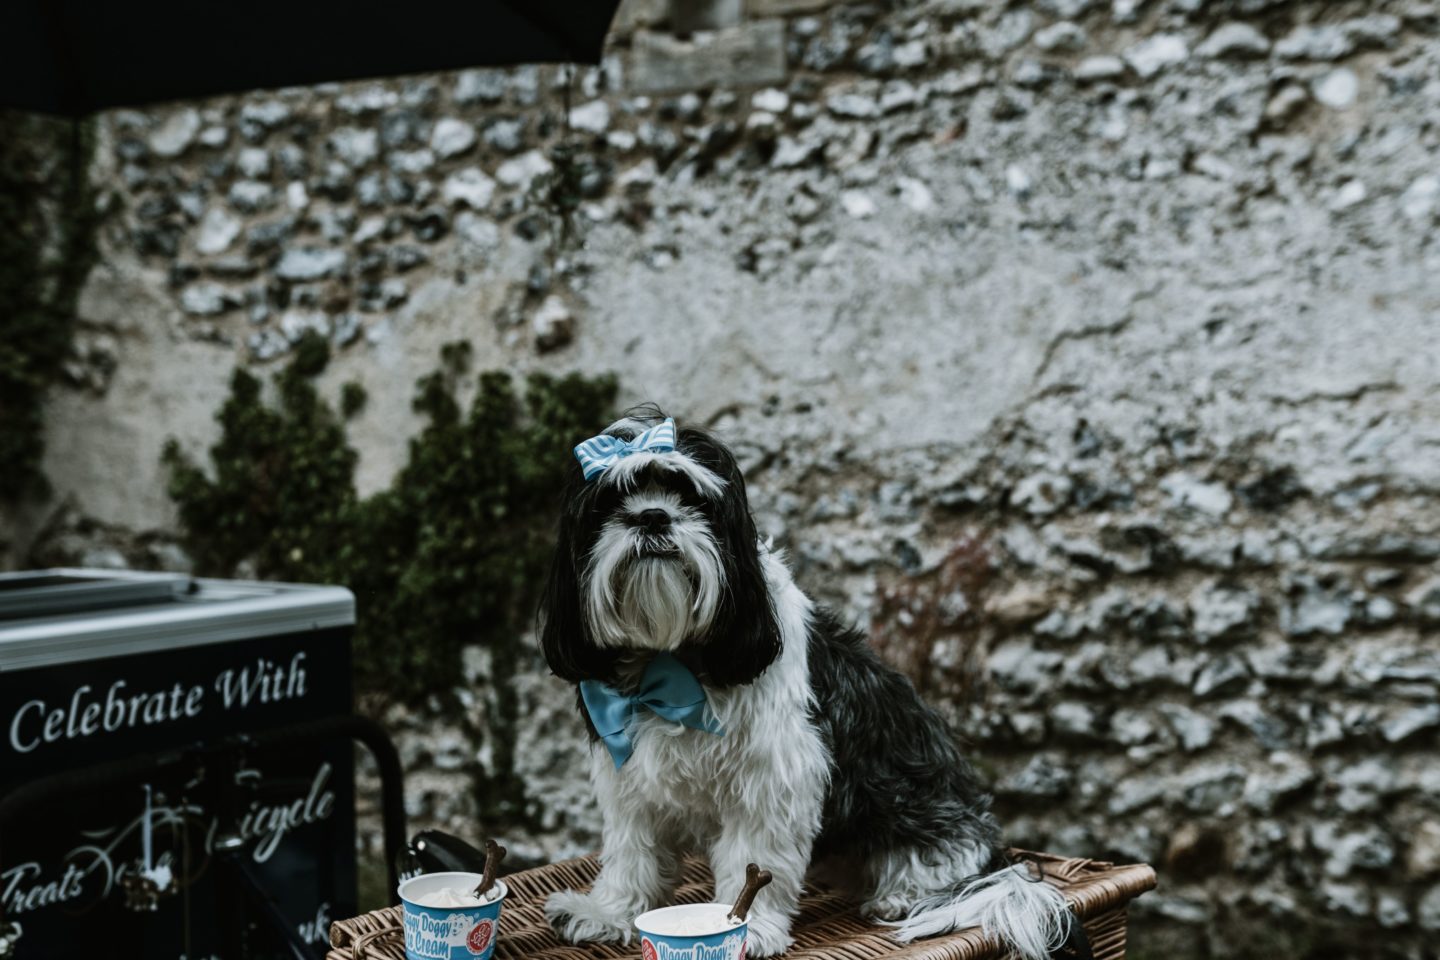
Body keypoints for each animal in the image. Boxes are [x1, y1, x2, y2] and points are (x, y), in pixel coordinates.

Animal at [541, 408, 1082, 955]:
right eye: (610, 503)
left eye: (693, 499)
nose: (652, 515)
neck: (672, 660)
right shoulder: (629, 779)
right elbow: (633, 853)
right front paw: (611, 913)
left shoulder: (773, 775)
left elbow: (754, 860)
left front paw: (748, 926)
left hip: (924, 807)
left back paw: (903, 894)